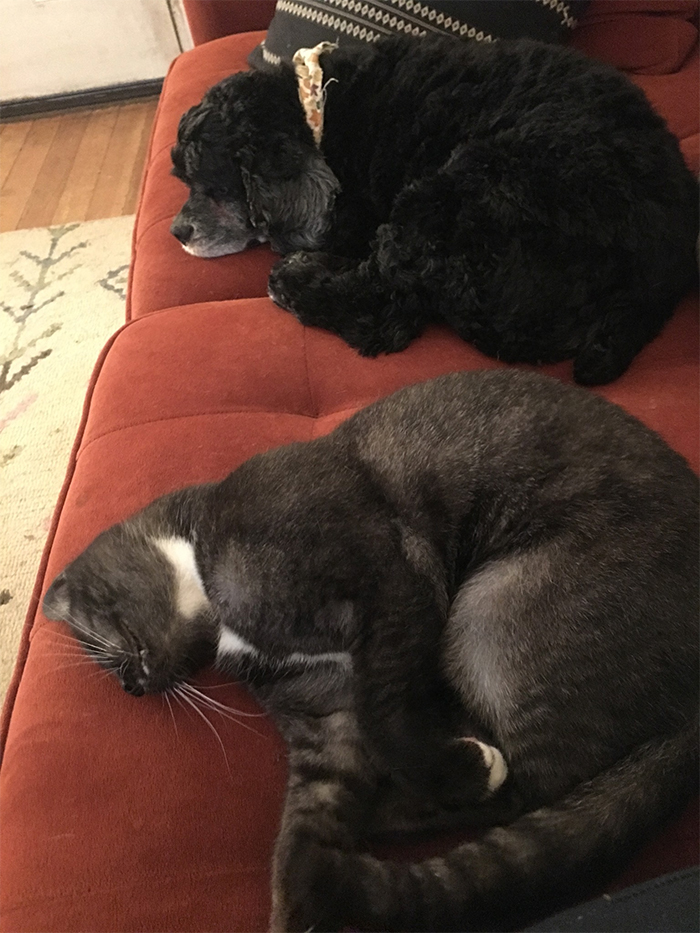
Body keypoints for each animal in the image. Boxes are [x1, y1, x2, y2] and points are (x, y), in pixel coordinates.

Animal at [45, 372, 700, 932]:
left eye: (104, 647)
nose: (130, 687)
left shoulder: (392, 588)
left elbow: (386, 713)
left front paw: (451, 774)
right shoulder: (325, 719)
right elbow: (304, 828)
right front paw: (299, 901)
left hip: (491, 609)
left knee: (533, 785)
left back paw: (413, 802)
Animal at [172, 37, 696, 382]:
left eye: (207, 182)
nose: (176, 230)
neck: (317, 107)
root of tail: (663, 268)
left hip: (449, 194)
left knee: (384, 313)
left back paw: (296, 278)